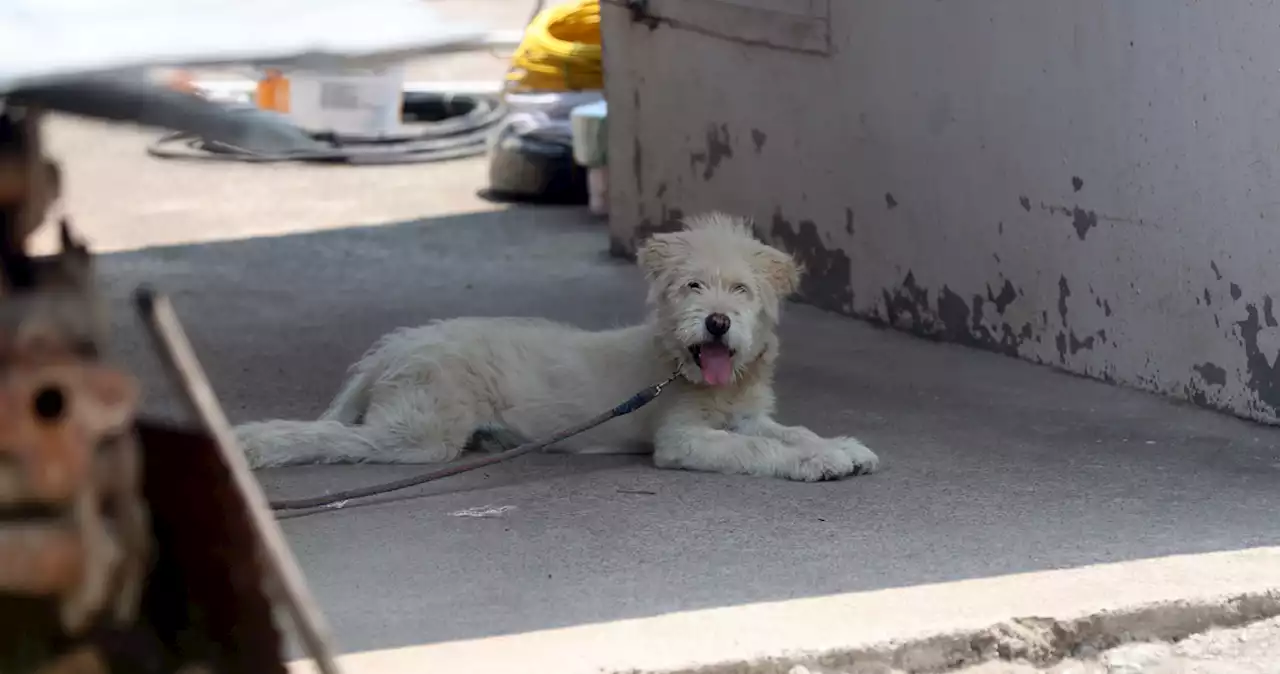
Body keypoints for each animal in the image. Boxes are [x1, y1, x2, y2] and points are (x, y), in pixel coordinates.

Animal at [232, 213, 880, 483]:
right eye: (692, 286)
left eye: (742, 290)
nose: (717, 323)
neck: (682, 365)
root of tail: (396, 346)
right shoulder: (683, 438)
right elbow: (756, 449)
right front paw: (816, 463)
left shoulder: (746, 415)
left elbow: (788, 432)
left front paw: (839, 447)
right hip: (420, 429)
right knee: (331, 436)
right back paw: (252, 445)